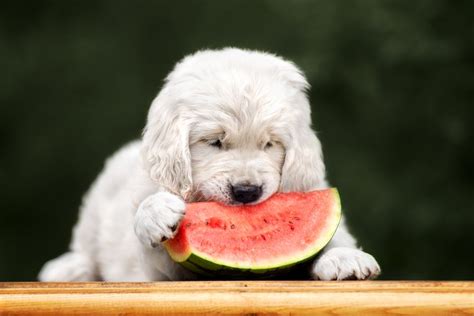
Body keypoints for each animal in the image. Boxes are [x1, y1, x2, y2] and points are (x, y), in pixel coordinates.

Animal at [39, 47, 382, 282]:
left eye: (270, 144)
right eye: (215, 142)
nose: (247, 192)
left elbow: (335, 236)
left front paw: (344, 257)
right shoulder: (163, 271)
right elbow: (153, 240)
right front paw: (155, 212)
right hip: (97, 205)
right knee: (84, 246)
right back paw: (68, 268)